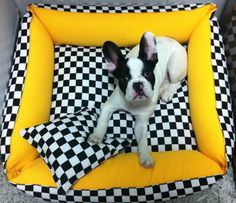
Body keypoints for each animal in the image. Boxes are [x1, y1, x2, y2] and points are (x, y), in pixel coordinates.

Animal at [87, 31, 187, 167]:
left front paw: (145, 156)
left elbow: (143, 140)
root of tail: (174, 41)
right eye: (124, 78)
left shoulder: (141, 123)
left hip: (174, 69)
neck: (133, 104)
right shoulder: (109, 106)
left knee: (176, 82)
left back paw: (167, 93)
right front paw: (97, 135)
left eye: (147, 74)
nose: (137, 84)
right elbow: (102, 121)